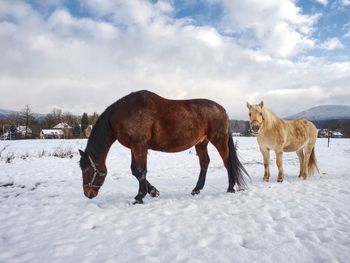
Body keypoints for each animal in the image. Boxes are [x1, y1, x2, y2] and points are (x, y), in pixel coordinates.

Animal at [79, 90, 249, 204]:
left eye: (87, 170)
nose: (88, 193)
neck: (125, 113)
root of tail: (222, 109)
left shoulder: (139, 145)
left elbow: (139, 171)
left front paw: (140, 197)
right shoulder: (135, 146)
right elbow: (136, 171)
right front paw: (153, 191)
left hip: (219, 140)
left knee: (227, 162)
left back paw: (230, 188)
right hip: (201, 143)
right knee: (204, 162)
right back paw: (196, 189)